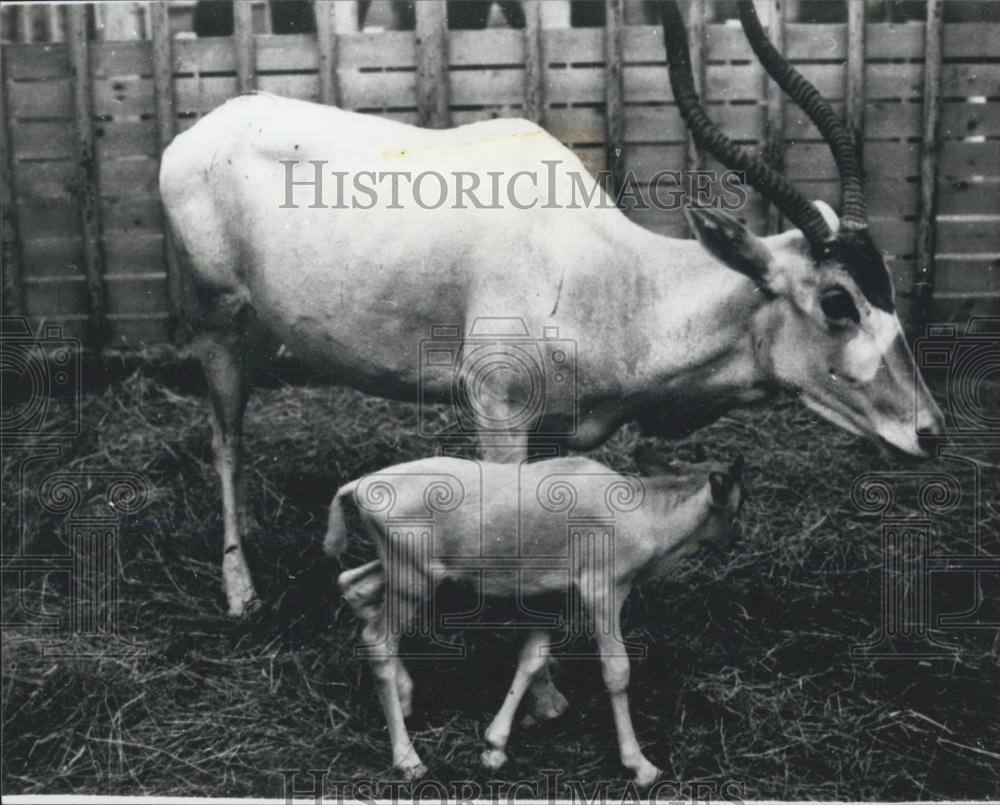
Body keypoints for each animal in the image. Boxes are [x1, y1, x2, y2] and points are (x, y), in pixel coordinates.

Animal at [158, 0, 944, 716]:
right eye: (838, 300)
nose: (928, 431)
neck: (608, 276)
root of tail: (198, 134)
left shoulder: (561, 427)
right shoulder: (496, 408)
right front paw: (541, 696)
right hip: (217, 321)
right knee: (225, 439)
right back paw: (240, 590)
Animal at [326, 452, 744, 784]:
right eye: (737, 505)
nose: (732, 542)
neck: (646, 515)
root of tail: (357, 487)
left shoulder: (551, 594)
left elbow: (531, 658)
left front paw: (495, 747)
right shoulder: (603, 588)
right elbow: (617, 670)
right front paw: (641, 766)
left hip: (401, 572)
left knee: (353, 585)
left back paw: (406, 693)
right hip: (412, 579)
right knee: (378, 640)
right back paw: (408, 759)